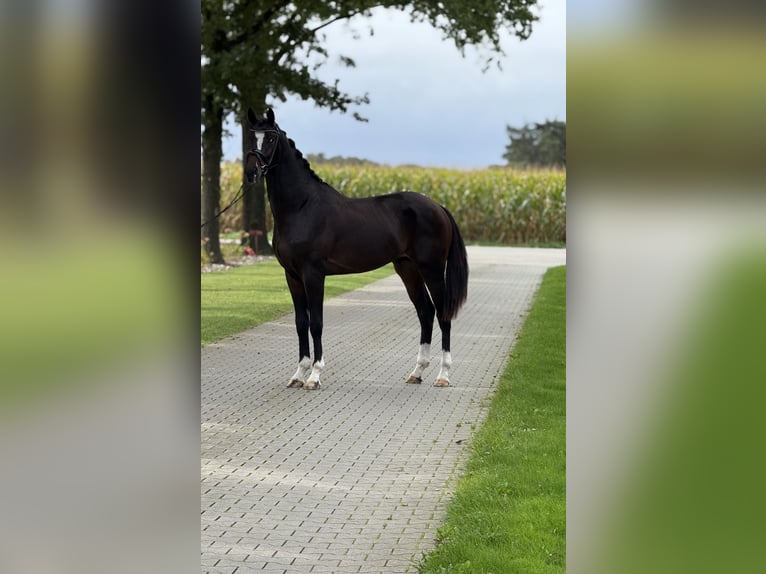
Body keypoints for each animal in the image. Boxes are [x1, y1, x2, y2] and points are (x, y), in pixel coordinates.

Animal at [245, 108, 468, 390]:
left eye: (271, 139)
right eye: (251, 138)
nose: (251, 172)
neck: (302, 206)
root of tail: (438, 207)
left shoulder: (313, 274)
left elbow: (316, 323)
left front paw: (314, 376)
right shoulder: (292, 276)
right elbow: (300, 323)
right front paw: (298, 375)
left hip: (433, 270)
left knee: (442, 314)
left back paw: (443, 376)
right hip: (408, 269)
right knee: (426, 312)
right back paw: (417, 372)